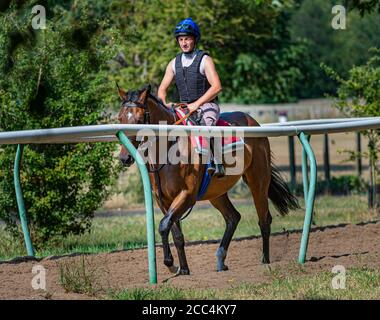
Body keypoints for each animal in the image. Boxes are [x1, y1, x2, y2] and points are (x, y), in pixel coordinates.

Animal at [116, 84, 300, 276]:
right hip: (216, 193)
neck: (170, 149)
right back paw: (221, 260)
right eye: (119, 118)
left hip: (258, 181)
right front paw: (183, 269)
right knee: (233, 217)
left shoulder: (187, 195)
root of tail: (253, 122)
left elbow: (163, 224)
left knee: (264, 219)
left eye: (138, 119)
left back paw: (265, 261)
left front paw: (170, 262)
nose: (124, 158)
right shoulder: (163, 200)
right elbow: (175, 232)